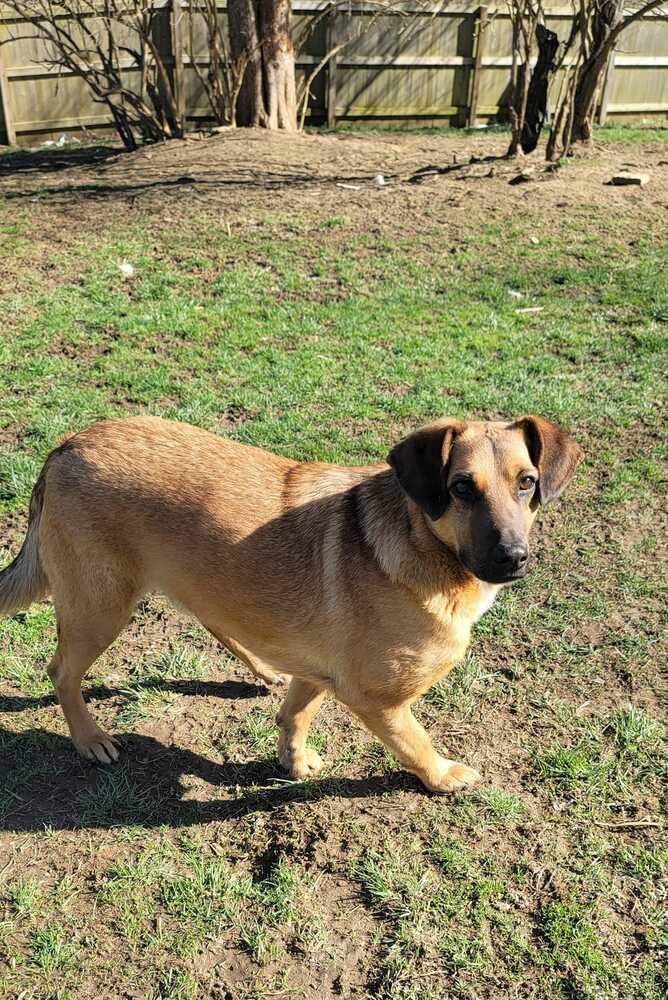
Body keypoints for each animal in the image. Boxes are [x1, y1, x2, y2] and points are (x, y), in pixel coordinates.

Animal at [0, 414, 580, 788]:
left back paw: (262, 668)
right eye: (461, 488)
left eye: (527, 483)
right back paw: (89, 739)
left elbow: (296, 715)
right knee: (60, 672)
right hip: (100, 608)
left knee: (217, 621)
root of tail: (66, 445)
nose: (513, 558)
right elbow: (416, 741)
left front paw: (294, 762)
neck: (422, 541)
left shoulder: (322, 672)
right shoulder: (379, 700)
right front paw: (442, 775)